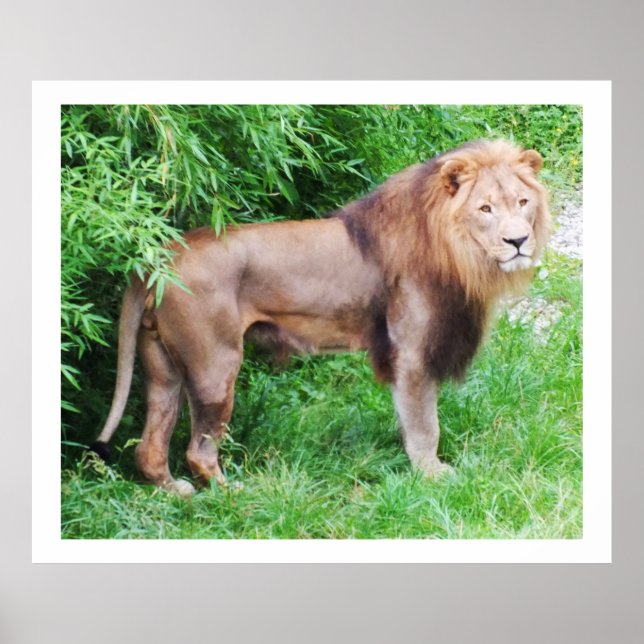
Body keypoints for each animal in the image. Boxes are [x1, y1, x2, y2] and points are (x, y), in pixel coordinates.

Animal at [91, 139, 551, 496]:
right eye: (485, 208)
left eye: (522, 203)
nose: (518, 241)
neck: (460, 252)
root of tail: (157, 260)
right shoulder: (412, 354)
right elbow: (425, 423)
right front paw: (432, 475)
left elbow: (407, 418)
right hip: (214, 367)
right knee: (198, 451)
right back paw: (231, 493)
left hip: (162, 367)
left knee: (149, 449)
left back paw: (174, 492)